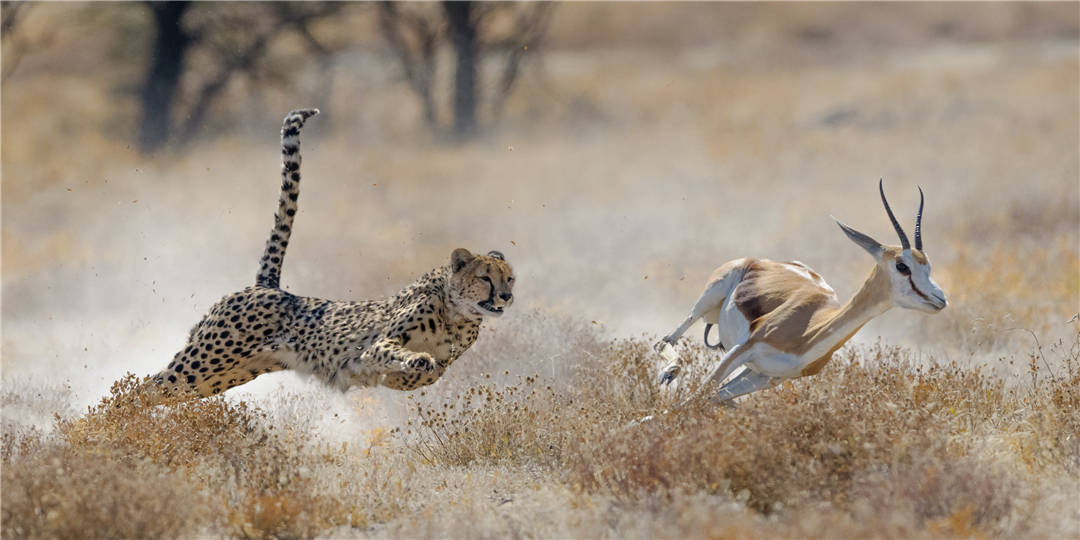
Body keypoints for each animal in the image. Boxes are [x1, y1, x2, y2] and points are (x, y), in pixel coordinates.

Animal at [150, 109, 516, 397]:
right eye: (485, 278)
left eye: (510, 278)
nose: (507, 297)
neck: (456, 314)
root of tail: (267, 286)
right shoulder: (378, 344)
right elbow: (394, 353)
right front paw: (415, 359)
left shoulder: (437, 364)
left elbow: (427, 374)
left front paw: (414, 369)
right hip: (204, 361)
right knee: (142, 389)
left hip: (219, 376)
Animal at [648, 181, 946, 406]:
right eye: (902, 266)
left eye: (928, 266)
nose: (941, 299)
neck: (808, 331)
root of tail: (763, 261)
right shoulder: (742, 349)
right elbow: (691, 399)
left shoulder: (767, 377)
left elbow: (700, 400)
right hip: (707, 300)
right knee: (665, 341)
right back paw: (668, 373)